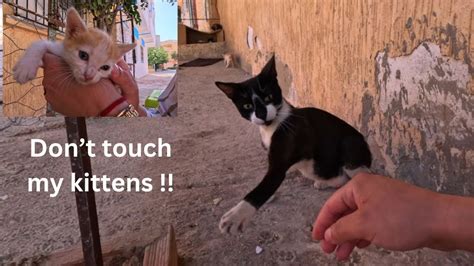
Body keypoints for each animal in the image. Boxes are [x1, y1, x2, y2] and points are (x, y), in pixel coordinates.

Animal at [214, 55, 370, 234]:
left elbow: (265, 185)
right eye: (247, 106)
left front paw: (236, 215)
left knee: (360, 175)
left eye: (268, 97)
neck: (272, 126)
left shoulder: (280, 163)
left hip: (351, 146)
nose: (261, 114)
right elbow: (270, 180)